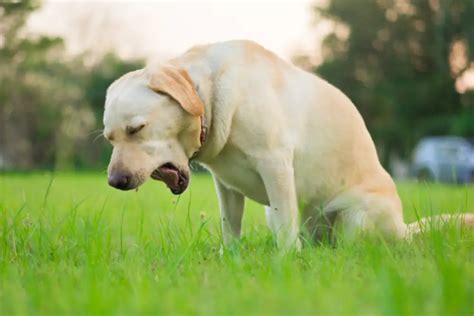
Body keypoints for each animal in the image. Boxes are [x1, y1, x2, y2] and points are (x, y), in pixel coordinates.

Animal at [105, 40, 472, 251]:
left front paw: (284, 263)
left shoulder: (275, 164)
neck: (207, 94)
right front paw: (231, 259)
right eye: (110, 137)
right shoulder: (226, 186)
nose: (116, 182)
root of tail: (403, 230)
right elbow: (230, 226)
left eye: (137, 129)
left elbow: (284, 228)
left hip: (356, 219)